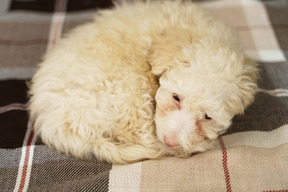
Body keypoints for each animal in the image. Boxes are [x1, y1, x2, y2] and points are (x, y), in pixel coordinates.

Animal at [28, 0, 258, 164]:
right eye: (176, 98)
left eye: (208, 116)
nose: (171, 142)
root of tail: (51, 121)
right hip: (128, 88)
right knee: (139, 135)